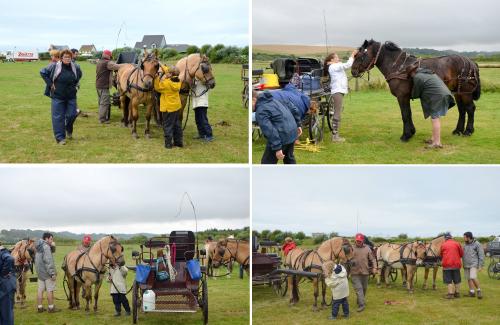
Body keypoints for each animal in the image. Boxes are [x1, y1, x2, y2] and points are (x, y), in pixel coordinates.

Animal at [352, 39, 480, 141]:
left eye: (359, 56)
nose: (353, 71)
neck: (399, 67)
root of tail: (471, 62)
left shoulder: (402, 96)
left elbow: (405, 114)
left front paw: (406, 135)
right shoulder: (405, 97)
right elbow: (408, 114)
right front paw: (411, 132)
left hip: (466, 93)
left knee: (470, 108)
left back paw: (468, 131)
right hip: (459, 92)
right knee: (462, 110)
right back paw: (458, 130)